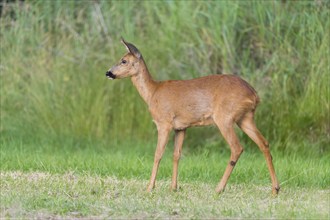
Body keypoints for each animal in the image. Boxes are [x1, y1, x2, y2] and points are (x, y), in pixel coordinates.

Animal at [106, 38, 282, 195]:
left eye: (123, 60)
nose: (108, 73)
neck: (152, 92)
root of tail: (254, 95)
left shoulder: (164, 123)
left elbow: (158, 154)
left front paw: (150, 188)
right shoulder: (181, 127)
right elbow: (176, 155)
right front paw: (173, 188)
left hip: (225, 118)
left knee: (237, 147)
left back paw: (219, 189)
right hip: (245, 118)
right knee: (264, 143)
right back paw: (275, 189)